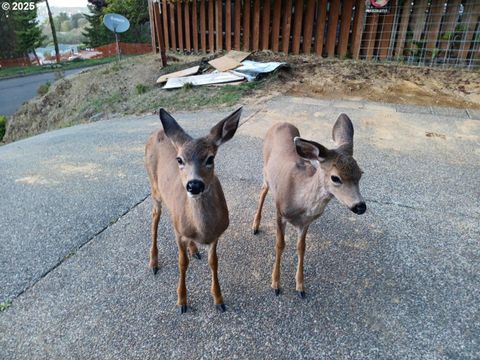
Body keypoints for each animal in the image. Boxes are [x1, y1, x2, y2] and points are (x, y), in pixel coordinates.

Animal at [143, 106, 242, 312]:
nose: (194, 185)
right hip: (154, 188)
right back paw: (154, 262)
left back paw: (194, 249)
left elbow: (214, 263)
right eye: (179, 160)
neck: (202, 230)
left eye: (210, 158)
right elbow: (182, 263)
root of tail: (157, 132)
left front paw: (219, 299)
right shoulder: (179, 233)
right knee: (155, 217)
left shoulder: (216, 235)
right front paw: (182, 301)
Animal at [251, 114, 368, 298]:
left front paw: (300, 286)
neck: (299, 200)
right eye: (335, 178)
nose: (360, 206)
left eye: (360, 174)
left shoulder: (306, 222)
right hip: (266, 172)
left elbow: (302, 247)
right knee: (262, 191)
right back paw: (255, 225)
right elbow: (280, 244)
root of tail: (281, 122)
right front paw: (275, 283)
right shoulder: (280, 212)